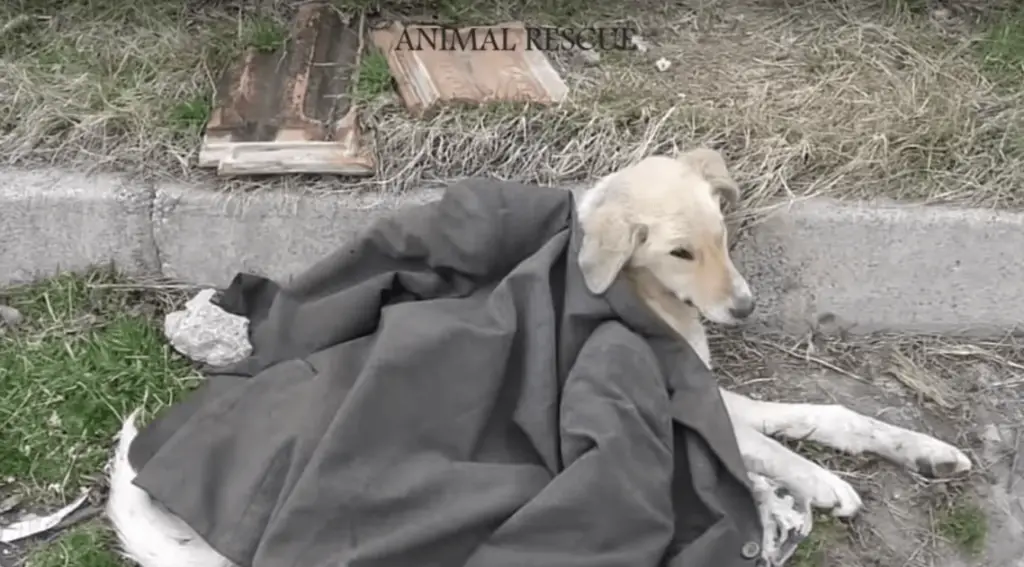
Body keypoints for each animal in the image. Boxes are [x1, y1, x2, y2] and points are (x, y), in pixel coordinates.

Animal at [108, 150, 970, 564]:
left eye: (723, 237)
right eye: (681, 252)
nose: (746, 307)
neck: (636, 291)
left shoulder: (712, 386)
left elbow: (828, 411)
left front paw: (922, 450)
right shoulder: (689, 393)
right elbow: (766, 443)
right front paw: (823, 483)